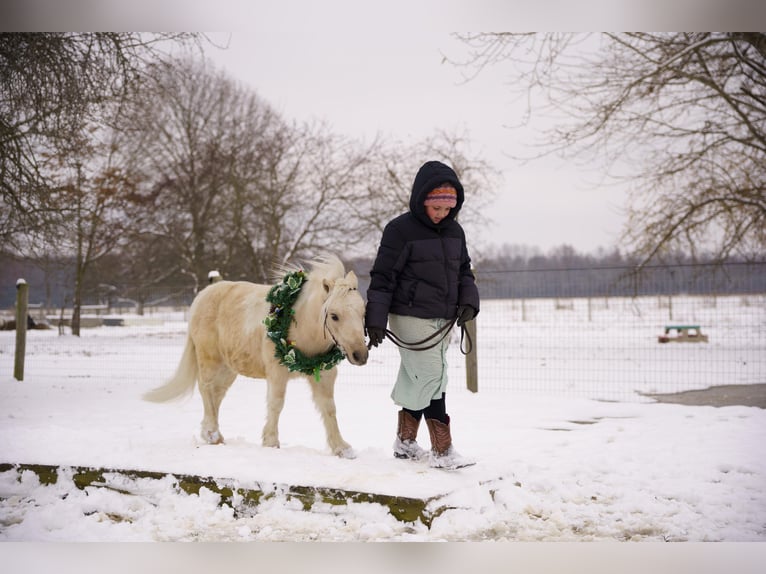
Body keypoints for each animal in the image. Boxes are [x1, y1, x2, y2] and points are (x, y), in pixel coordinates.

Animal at [143, 255, 368, 458]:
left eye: (363, 312)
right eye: (334, 316)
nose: (360, 355)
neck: (300, 322)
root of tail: (202, 296)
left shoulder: (324, 373)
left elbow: (329, 408)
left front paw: (341, 448)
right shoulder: (277, 373)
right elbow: (276, 404)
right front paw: (271, 442)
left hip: (228, 369)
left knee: (216, 395)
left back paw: (213, 436)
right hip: (209, 360)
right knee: (206, 389)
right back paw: (212, 433)